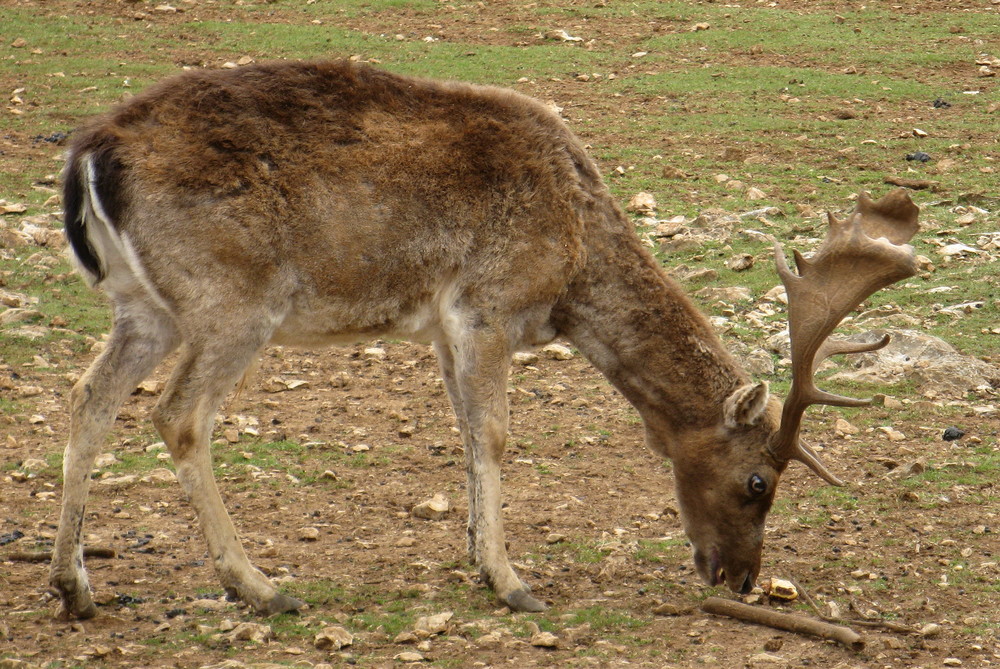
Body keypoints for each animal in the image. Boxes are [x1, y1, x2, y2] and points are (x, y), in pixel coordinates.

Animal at [50, 60, 916, 620]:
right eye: (758, 481)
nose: (738, 576)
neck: (575, 257)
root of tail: (90, 153)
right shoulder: (489, 304)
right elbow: (495, 435)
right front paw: (513, 581)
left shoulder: (443, 326)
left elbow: (466, 432)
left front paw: (477, 558)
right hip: (232, 297)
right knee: (177, 415)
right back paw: (259, 585)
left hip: (143, 305)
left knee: (87, 396)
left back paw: (74, 587)